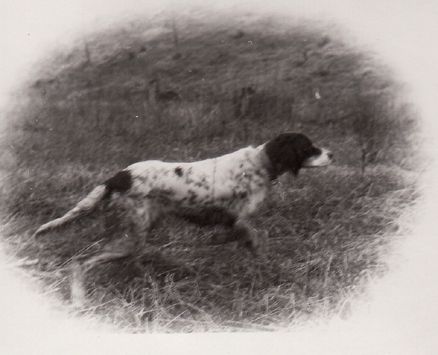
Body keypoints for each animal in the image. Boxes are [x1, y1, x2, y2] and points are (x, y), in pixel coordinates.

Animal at [32, 134, 332, 286]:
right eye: (310, 147)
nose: (332, 153)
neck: (261, 162)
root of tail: (117, 177)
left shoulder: (235, 223)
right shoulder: (239, 220)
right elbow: (256, 238)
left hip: (137, 233)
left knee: (122, 262)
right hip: (129, 236)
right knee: (85, 262)